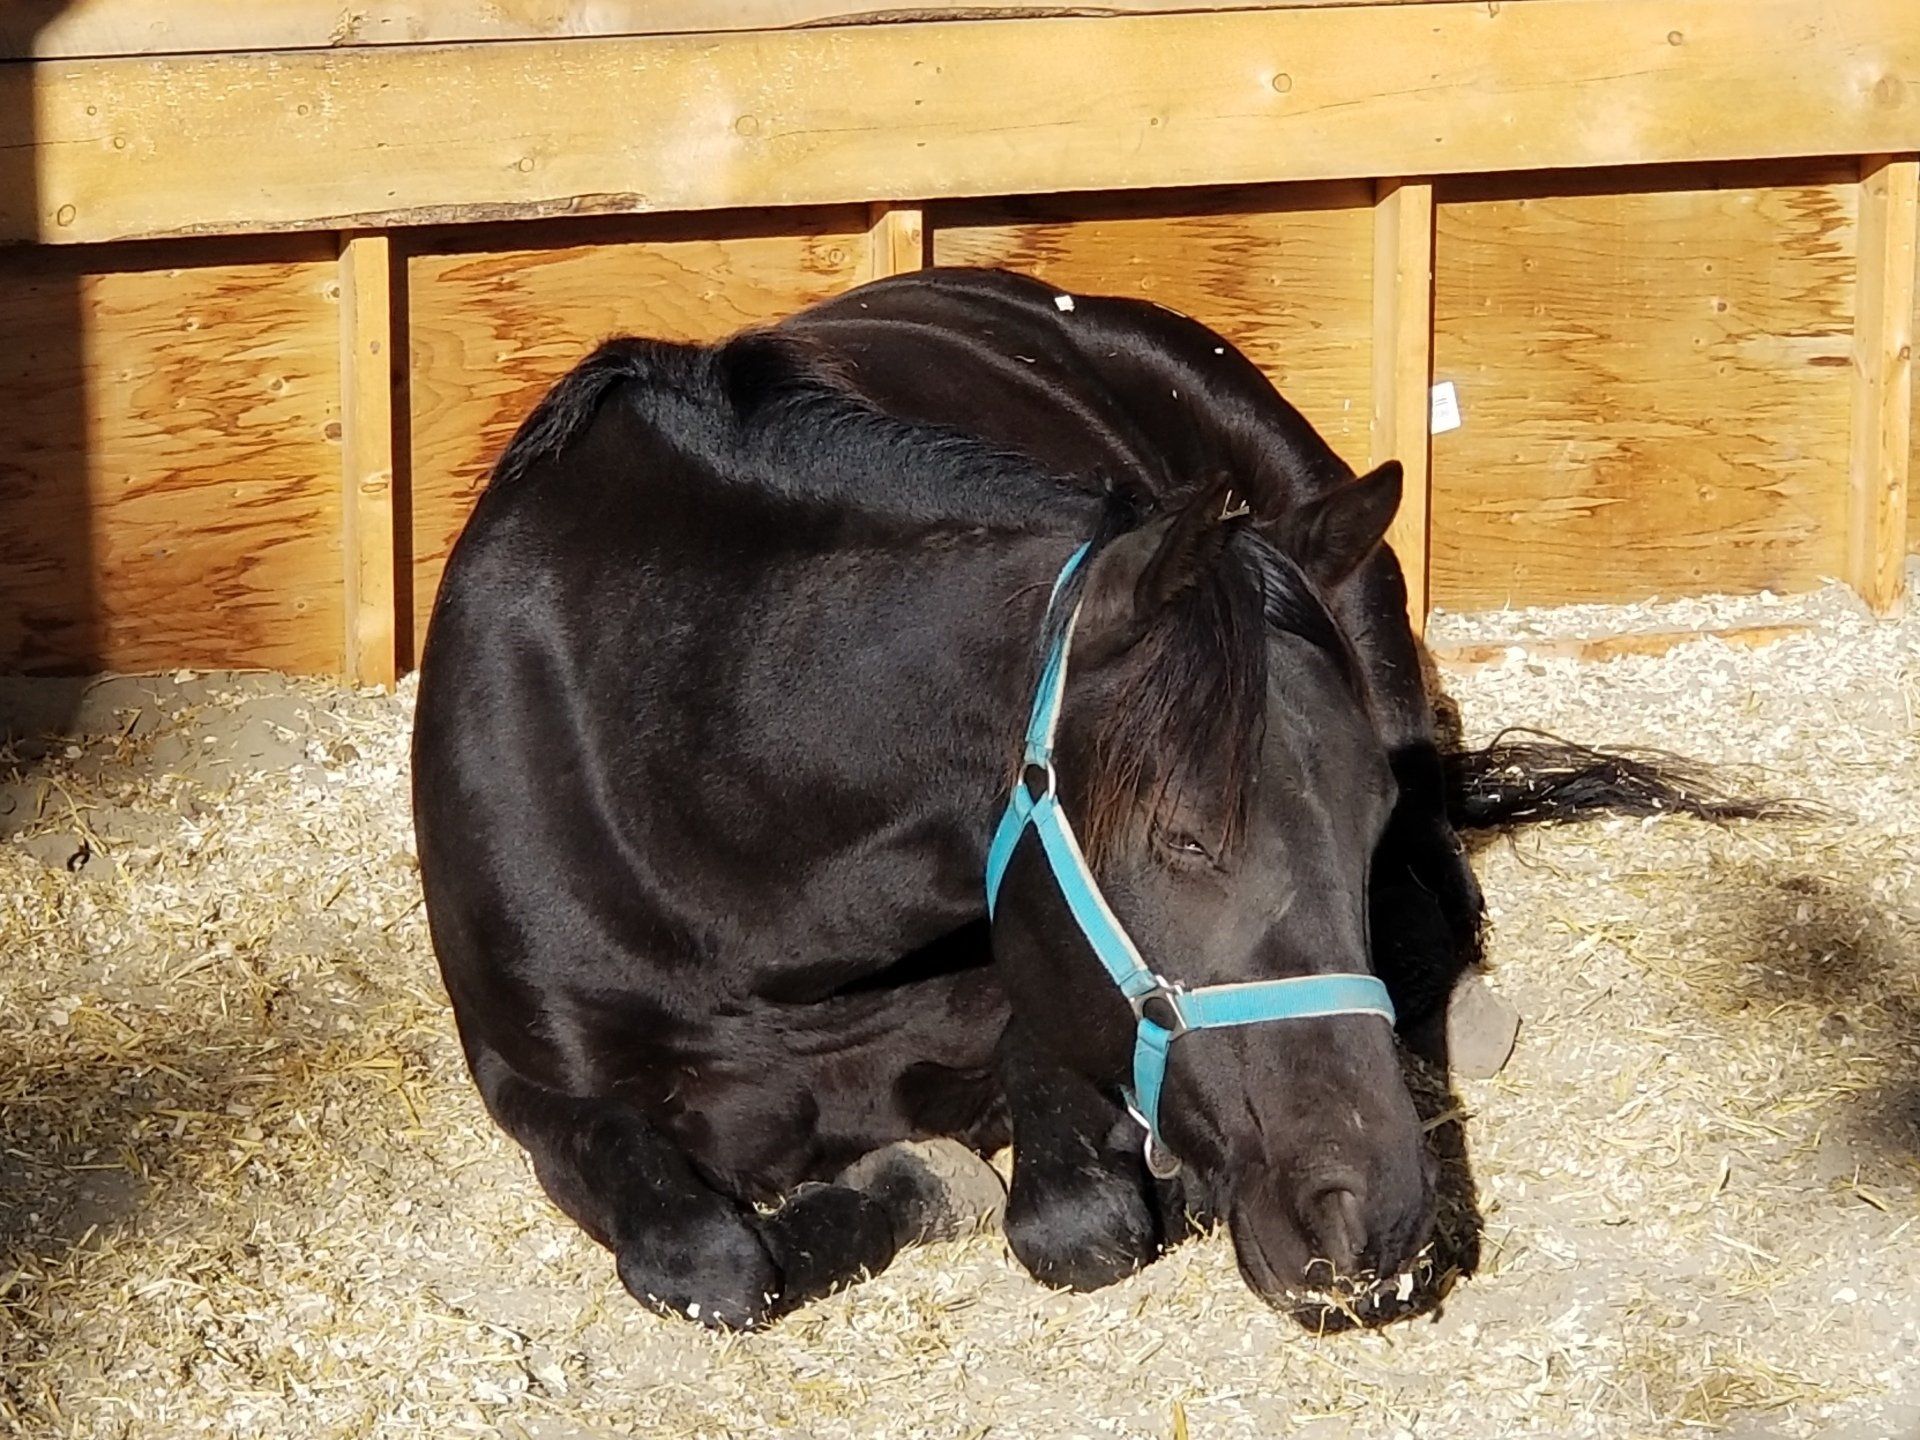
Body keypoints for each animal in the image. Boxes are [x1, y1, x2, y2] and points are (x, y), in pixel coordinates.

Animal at [412, 267, 1748, 1329]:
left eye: (1360, 826)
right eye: (1185, 839)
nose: (1368, 1220)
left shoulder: (1038, 1008)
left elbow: (1076, 1223)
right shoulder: (538, 1094)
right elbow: (708, 1264)